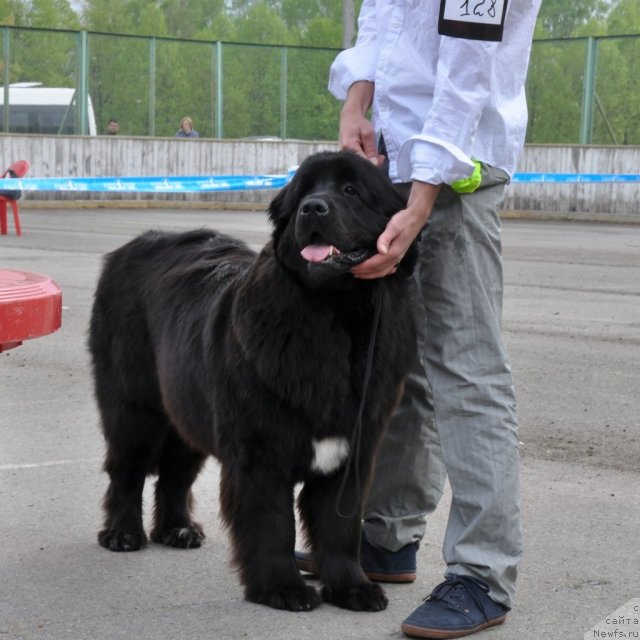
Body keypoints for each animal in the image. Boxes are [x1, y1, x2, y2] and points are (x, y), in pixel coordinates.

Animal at [89, 149, 416, 608]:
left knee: (175, 471)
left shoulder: (354, 450)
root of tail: (130, 247)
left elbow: (340, 527)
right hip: (133, 407)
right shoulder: (260, 452)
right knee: (127, 468)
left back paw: (178, 529)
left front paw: (353, 588)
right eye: (304, 192)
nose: (313, 208)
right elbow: (272, 525)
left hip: (188, 408)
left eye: (351, 190)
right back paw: (122, 533)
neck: (334, 318)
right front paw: (282, 588)